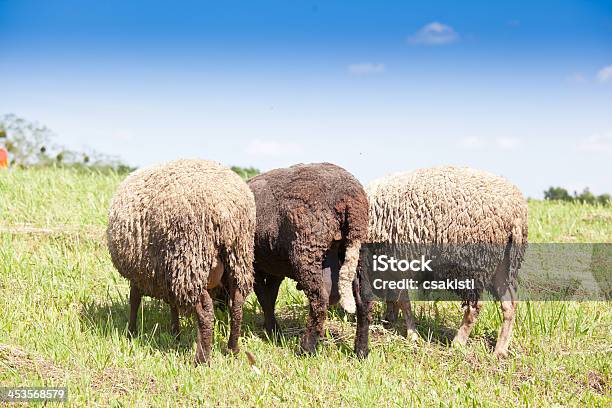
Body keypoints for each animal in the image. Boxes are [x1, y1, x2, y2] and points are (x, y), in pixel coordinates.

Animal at [107, 159, 256, 364]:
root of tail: (224, 210)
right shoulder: (166, 276)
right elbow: (172, 304)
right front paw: (175, 333)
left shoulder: (138, 274)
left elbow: (134, 300)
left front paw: (131, 332)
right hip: (238, 259)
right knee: (237, 304)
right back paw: (232, 349)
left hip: (191, 263)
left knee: (206, 312)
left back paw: (202, 359)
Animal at [249, 163, 368, 354]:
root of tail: (350, 195)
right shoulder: (275, 269)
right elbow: (270, 296)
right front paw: (272, 330)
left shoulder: (256, 266)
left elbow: (264, 297)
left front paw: (273, 331)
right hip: (357, 252)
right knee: (364, 300)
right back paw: (361, 350)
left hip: (307, 251)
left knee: (320, 300)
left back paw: (307, 348)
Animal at [356, 166, 528, 356]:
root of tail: (515, 214)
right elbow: (394, 297)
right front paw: (389, 321)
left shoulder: (399, 260)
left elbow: (403, 301)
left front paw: (412, 335)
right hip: (504, 265)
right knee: (509, 305)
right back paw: (500, 350)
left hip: (472, 266)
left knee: (475, 306)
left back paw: (458, 343)